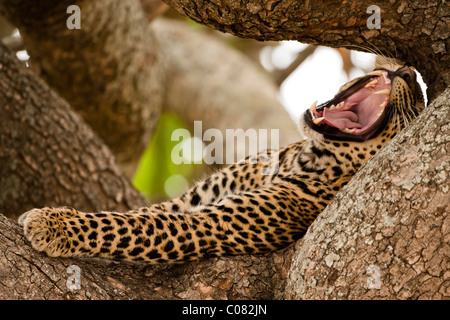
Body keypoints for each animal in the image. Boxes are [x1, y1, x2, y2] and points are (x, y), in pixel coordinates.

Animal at [18, 62, 426, 262]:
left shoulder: (212, 224)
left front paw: (52, 224)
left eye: (421, 107)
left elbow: (127, 226)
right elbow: (140, 214)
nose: (410, 74)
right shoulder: (190, 201)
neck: (306, 155)